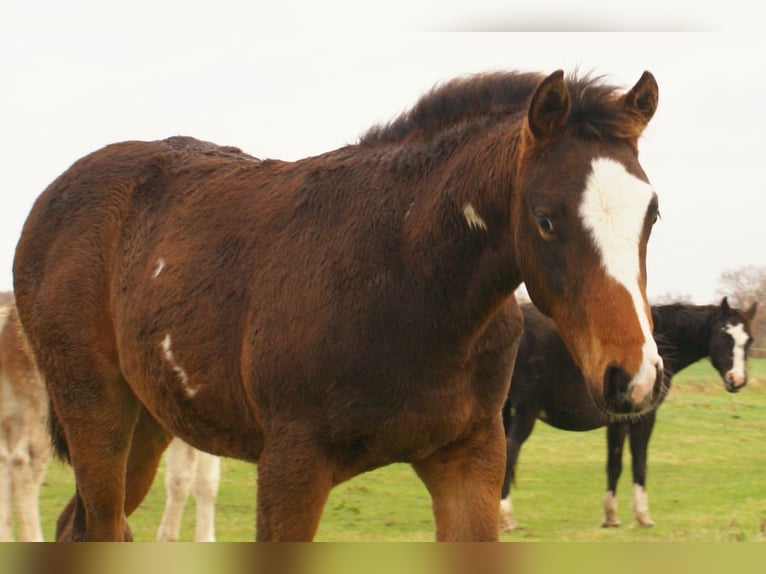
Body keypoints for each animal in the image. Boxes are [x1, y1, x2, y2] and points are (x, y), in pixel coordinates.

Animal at [13, 69, 663, 541]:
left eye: (653, 213)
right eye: (546, 218)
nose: (633, 377)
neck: (404, 281)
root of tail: (49, 200)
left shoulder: (472, 458)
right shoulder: (291, 467)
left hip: (148, 422)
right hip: (95, 410)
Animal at [499, 298, 758, 532]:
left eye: (749, 340)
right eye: (725, 334)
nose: (737, 380)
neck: (658, 342)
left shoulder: (618, 421)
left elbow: (614, 464)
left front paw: (611, 517)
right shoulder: (643, 417)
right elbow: (639, 463)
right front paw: (643, 517)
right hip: (525, 412)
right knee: (509, 451)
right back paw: (508, 519)